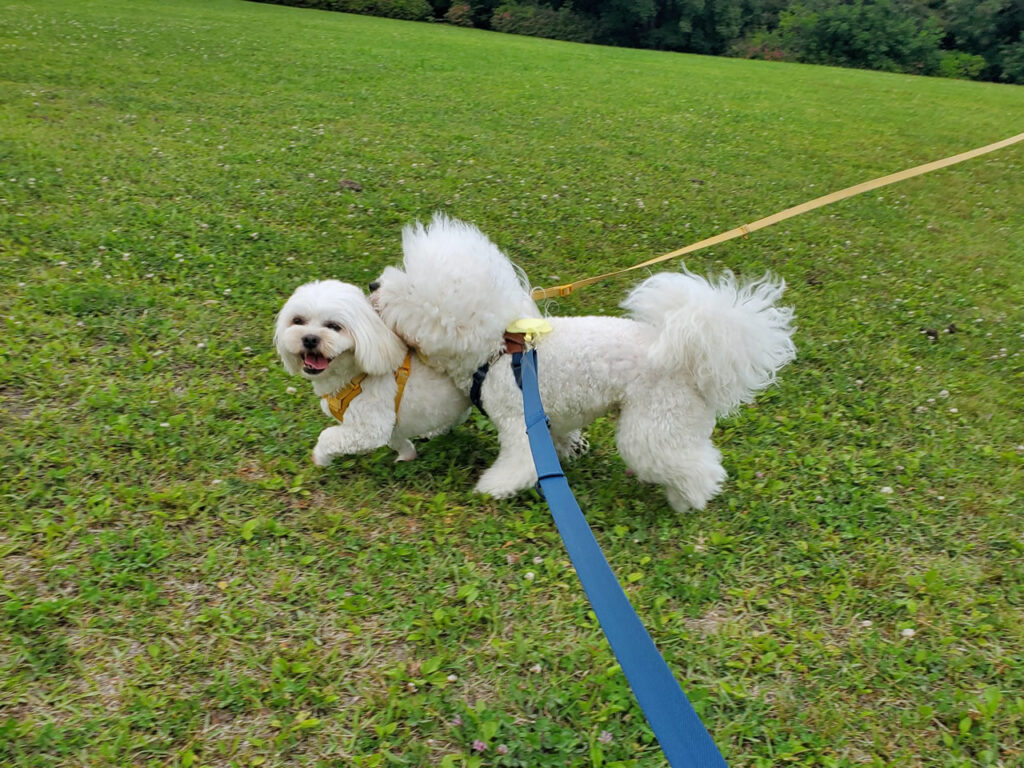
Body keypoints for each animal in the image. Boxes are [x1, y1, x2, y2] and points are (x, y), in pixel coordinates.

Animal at [274, 280, 468, 466]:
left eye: (334, 326)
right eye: (298, 320)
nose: (309, 338)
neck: (353, 377)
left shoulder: (369, 428)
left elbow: (327, 437)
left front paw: (320, 458)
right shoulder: (389, 425)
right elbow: (395, 440)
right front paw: (407, 453)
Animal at [372, 214, 794, 514]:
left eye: (408, 290)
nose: (374, 286)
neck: (498, 350)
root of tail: (692, 361)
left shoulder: (518, 420)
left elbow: (519, 462)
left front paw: (494, 486)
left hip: (655, 423)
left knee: (695, 465)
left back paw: (687, 500)